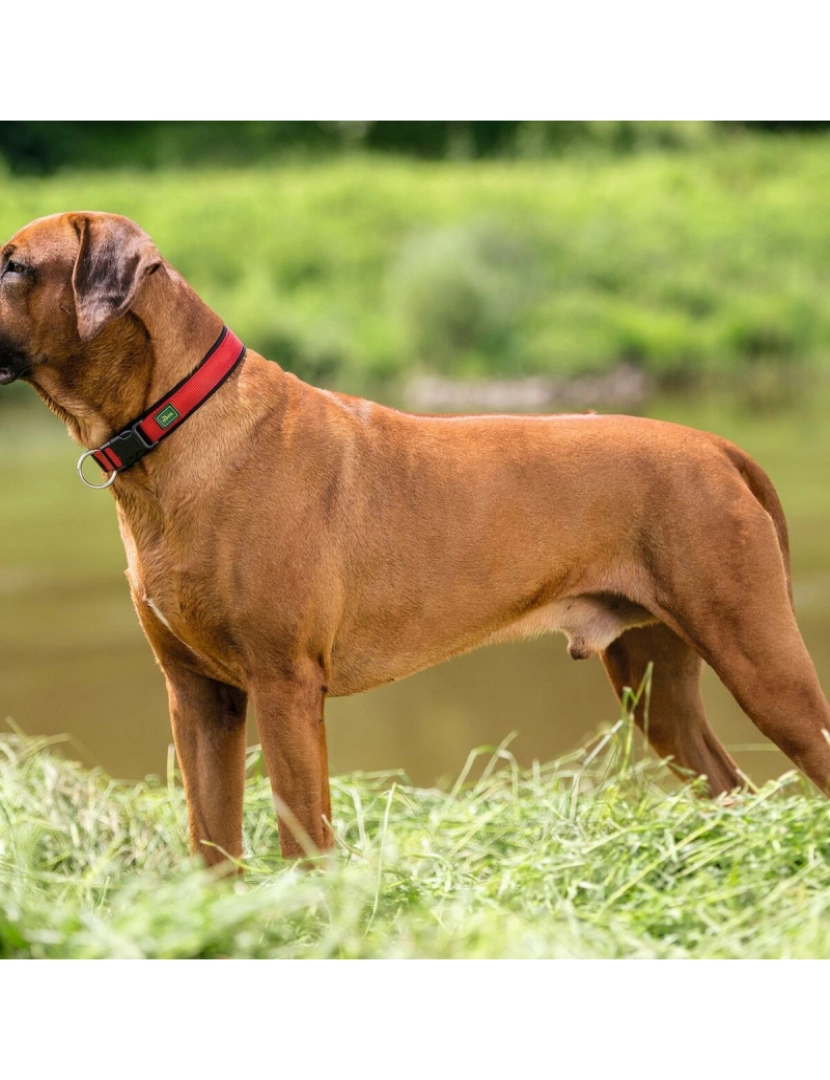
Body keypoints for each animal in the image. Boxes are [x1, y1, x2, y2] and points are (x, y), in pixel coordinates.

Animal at [1, 212, 828, 868]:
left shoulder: (284, 686)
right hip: (652, 672)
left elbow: (304, 838)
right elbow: (212, 843)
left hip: (759, 656)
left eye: (13, 265)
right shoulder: (198, 696)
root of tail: (716, 447)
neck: (177, 422)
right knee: (729, 786)